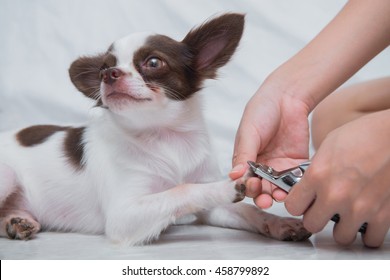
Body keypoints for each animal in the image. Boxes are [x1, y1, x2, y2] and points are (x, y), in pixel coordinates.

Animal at [0, 13, 310, 245]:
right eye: (103, 68)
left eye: (153, 62)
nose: (107, 74)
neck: (165, 135)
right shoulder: (123, 216)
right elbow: (181, 190)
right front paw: (227, 185)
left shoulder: (211, 211)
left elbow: (247, 210)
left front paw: (278, 223)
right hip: (7, 175)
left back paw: (17, 221)